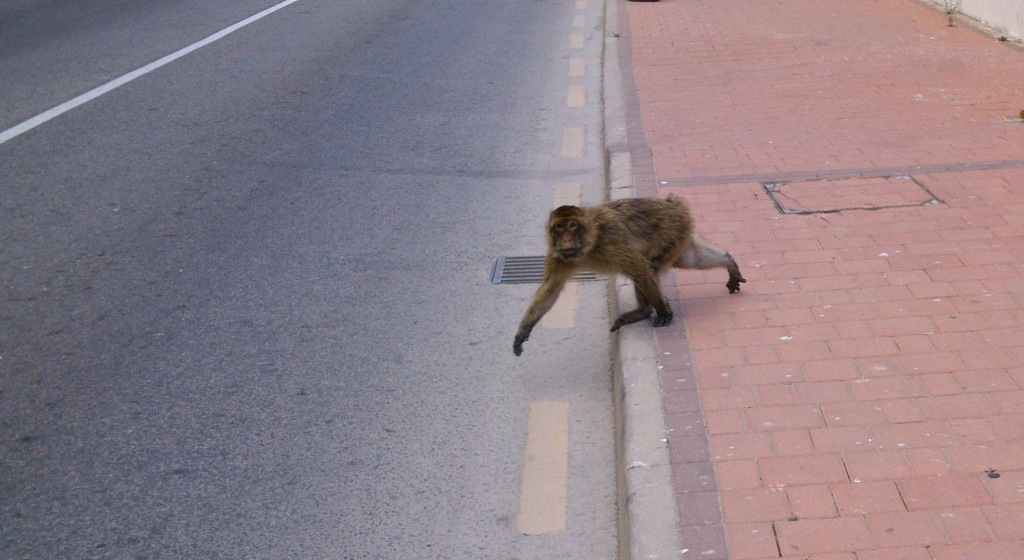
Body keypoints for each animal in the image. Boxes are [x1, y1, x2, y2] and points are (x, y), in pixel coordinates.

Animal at [513, 195, 745, 356]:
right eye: (559, 227)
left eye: (572, 225)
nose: (566, 240)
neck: (589, 243)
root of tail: (673, 203)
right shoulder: (558, 255)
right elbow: (551, 287)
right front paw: (523, 330)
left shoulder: (611, 241)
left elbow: (639, 268)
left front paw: (665, 312)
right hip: (680, 233)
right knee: (689, 258)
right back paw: (728, 261)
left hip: (670, 230)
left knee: (648, 267)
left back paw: (645, 311)